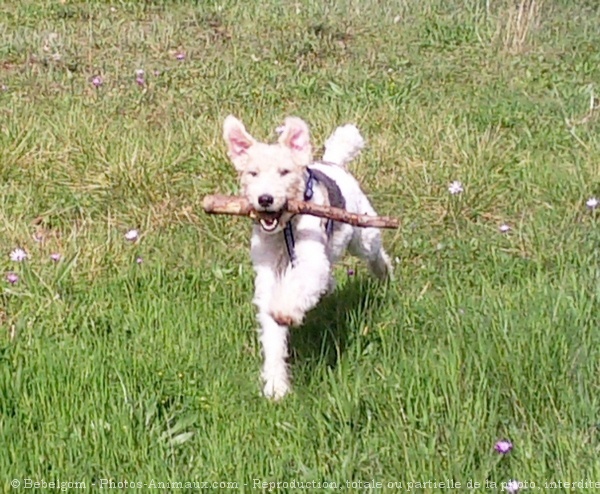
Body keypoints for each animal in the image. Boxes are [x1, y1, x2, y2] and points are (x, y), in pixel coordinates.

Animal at [223, 115, 392, 398]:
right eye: (252, 173)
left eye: (284, 172)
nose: (265, 199)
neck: (284, 229)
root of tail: (332, 162)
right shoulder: (268, 275)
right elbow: (273, 334)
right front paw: (276, 385)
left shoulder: (311, 259)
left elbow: (298, 286)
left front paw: (285, 311)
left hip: (362, 234)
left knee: (375, 251)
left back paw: (385, 274)